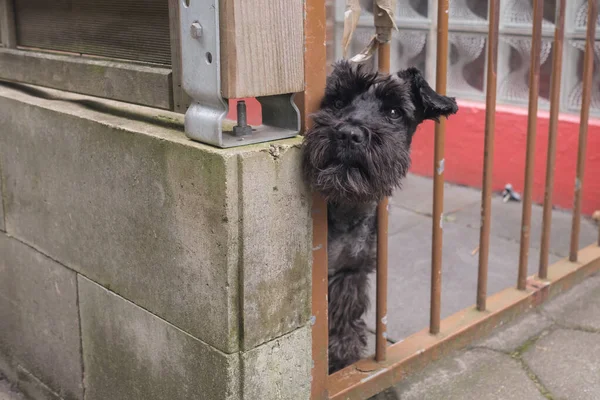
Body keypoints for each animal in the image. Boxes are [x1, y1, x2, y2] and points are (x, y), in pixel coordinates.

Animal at [302, 61, 458, 374]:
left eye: (394, 111)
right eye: (337, 102)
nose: (349, 134)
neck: (345, 209)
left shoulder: (350, 273)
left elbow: (343, 321)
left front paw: (342, 361)